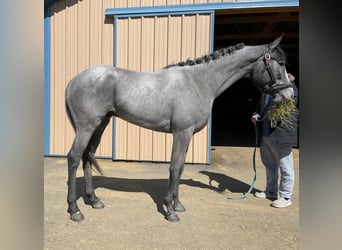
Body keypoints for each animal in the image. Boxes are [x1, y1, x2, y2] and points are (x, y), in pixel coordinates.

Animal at [66, 36, 294, 222]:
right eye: (281, 63)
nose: (289, 94)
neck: (198, 82)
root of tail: (73, 80)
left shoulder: (187, 135)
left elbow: (181, 167)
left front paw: (177, 204)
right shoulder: (181, 133)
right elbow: (174, 168)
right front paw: (169, 210)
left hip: (100, 124)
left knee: (88, 156)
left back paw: (94, 200)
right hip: (87, 126)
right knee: (74, 158)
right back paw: (75, 210)